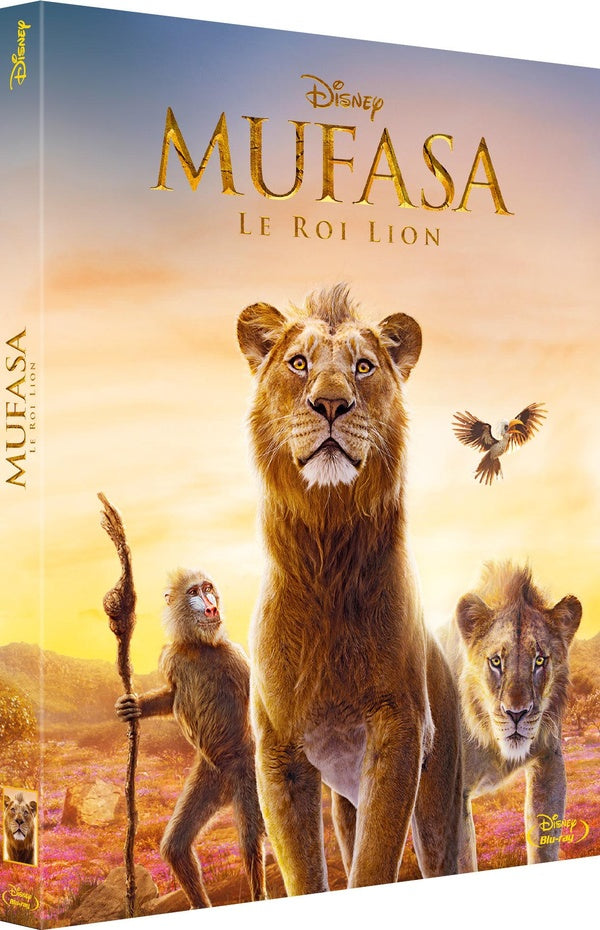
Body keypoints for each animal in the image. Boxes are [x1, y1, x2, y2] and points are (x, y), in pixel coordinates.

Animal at [237, 285, 463, 894]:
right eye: (299, 364)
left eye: (363, 367)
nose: (332, 404)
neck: (328, 555)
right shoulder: (279, 753)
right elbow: (304, 873)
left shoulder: (399, 732)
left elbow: (374, 865)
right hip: (345, 802)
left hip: (439, 798)